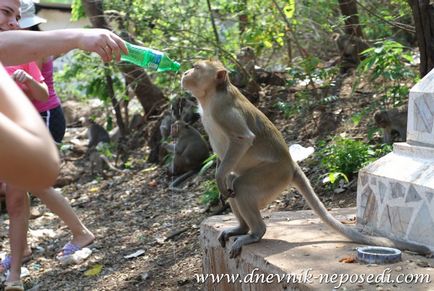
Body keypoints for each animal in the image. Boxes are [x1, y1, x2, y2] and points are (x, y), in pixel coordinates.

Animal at [181, 59, 430, 258]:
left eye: (197, 68)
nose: (185, 72)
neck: (211, 96)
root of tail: (291, 165)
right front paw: (220, 176)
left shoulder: (223, 110)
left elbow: (243, 138)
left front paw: (218, 175)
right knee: (233, 183)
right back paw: (241, 227)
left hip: (273, 175)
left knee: (241, 186)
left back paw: (255, 232)